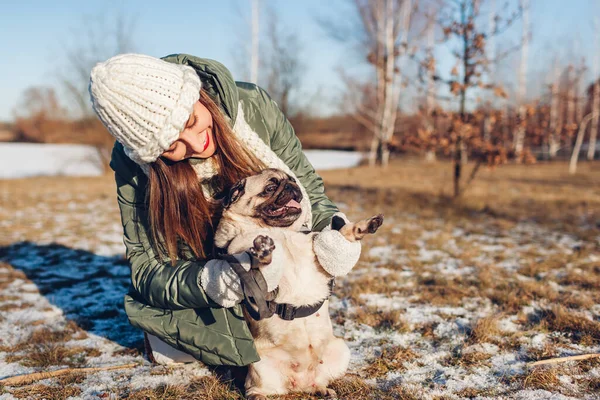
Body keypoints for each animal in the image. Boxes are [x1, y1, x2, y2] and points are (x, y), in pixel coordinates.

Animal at [216, 167, 382, 398]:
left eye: (291, 180)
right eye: (270, 188)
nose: (291, 185)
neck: (280, 232)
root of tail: (300, 381)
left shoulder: (319, 260)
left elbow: (342, 233)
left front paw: (363, 226)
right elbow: (256, 258)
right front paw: (263, 252)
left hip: (340, 350)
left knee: (319, 381)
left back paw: (323, 390)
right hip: (259, 366)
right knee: (255, 389)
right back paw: (259, 395)